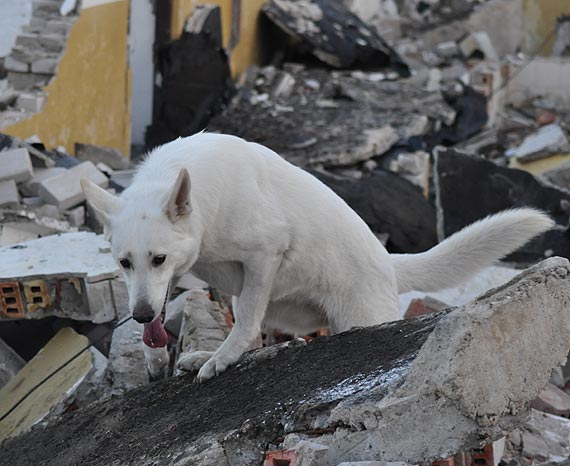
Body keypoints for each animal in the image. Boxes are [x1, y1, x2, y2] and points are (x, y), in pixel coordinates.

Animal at [82, 132, 552, 382]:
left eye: (158, 258)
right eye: (124, 263)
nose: (140, 315)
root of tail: (388, 262)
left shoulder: (265, 253)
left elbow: (247, 318)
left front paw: (223, 357)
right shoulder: (169, 282)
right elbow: (170, 315)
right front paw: (157, 355)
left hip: (356, 317)